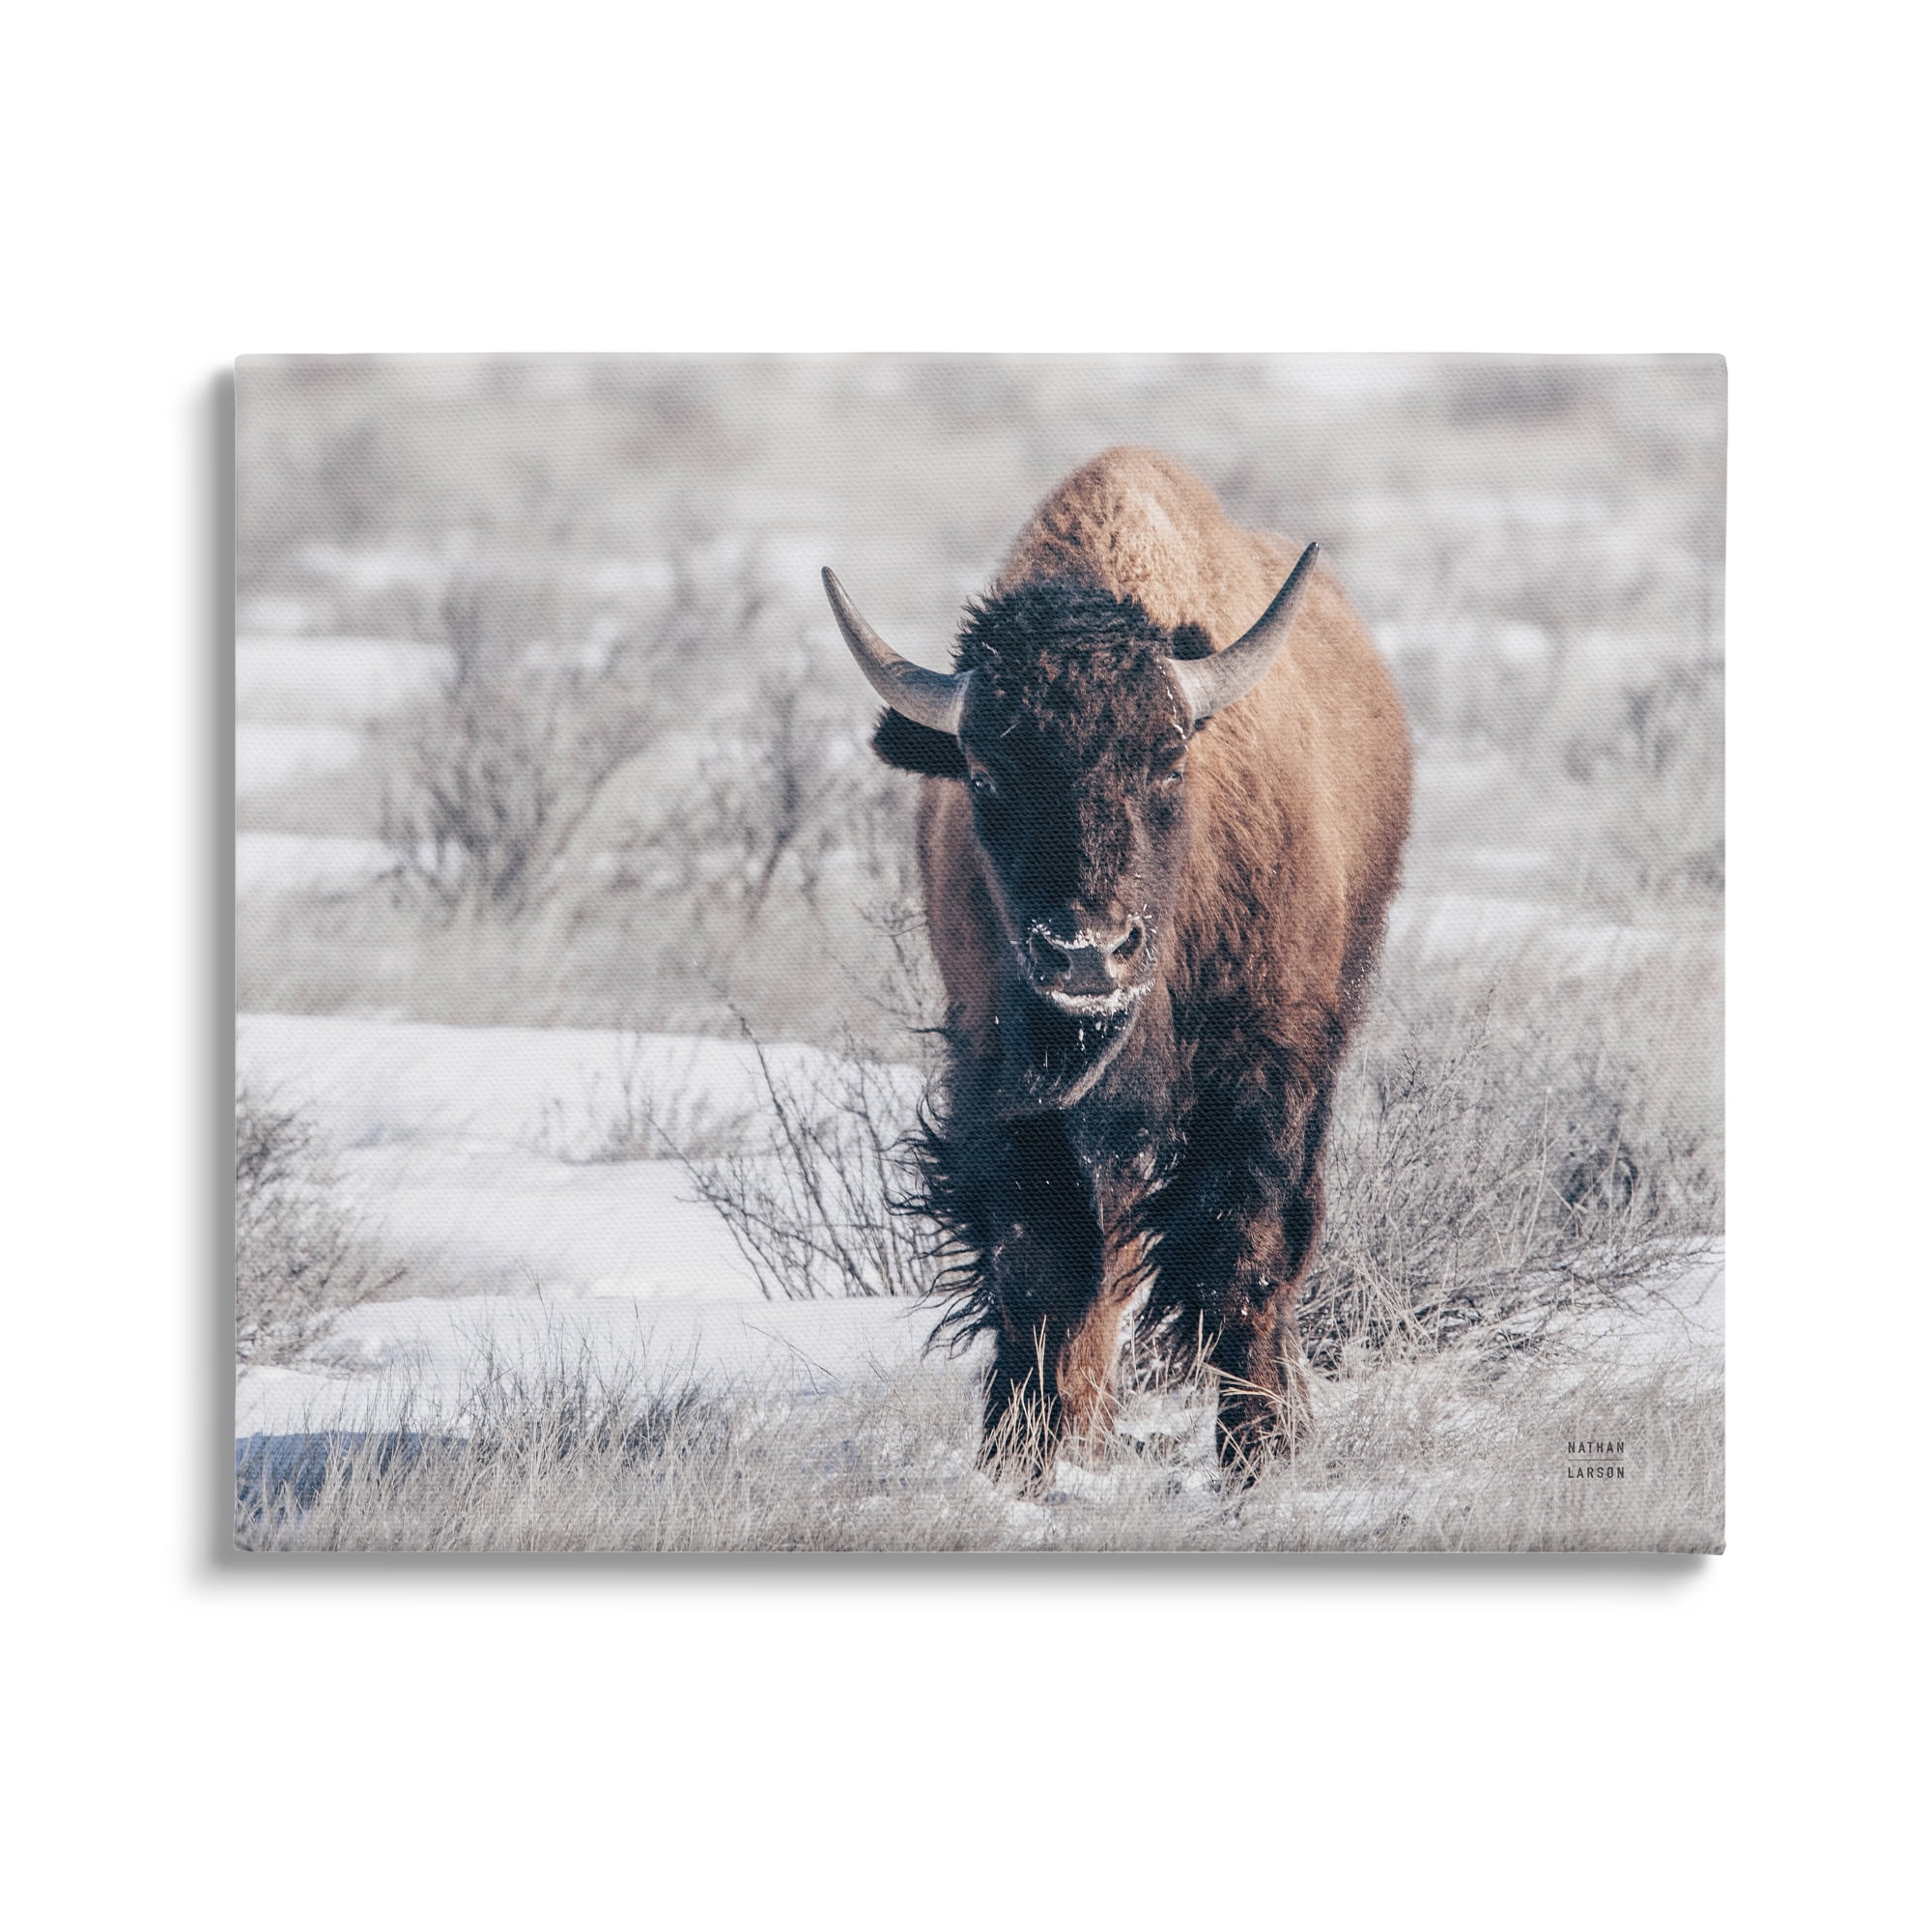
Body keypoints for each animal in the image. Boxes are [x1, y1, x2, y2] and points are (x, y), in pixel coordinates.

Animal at [824, 448, 1411, 1473]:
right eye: (985, 775)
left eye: (1169, 762)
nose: (1087, 954)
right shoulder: (1004, 1085)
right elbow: (1037, 1270)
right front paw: (1017, 1457)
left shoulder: (1265, 1076)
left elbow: (1245, 1257)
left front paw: (1258, 1455)